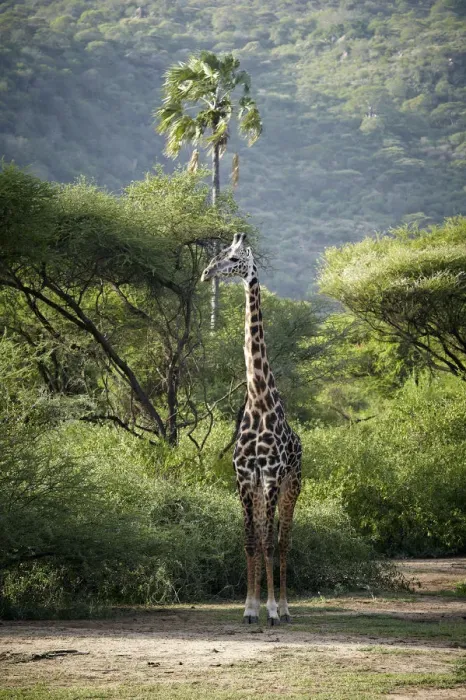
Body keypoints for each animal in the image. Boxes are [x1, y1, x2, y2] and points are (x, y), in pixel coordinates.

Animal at [201, 233, 302, 625]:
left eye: (233, 258)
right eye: (217, 254)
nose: (205, 273)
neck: (258, 398)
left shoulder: (272, 475)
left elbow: (270, 542)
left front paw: (271, 609)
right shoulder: (245, 477)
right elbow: (250, 540)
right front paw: (249, 607)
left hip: (293, 486)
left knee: (284, 540)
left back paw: (285, 609)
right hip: (261, 489)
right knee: (262, 535)